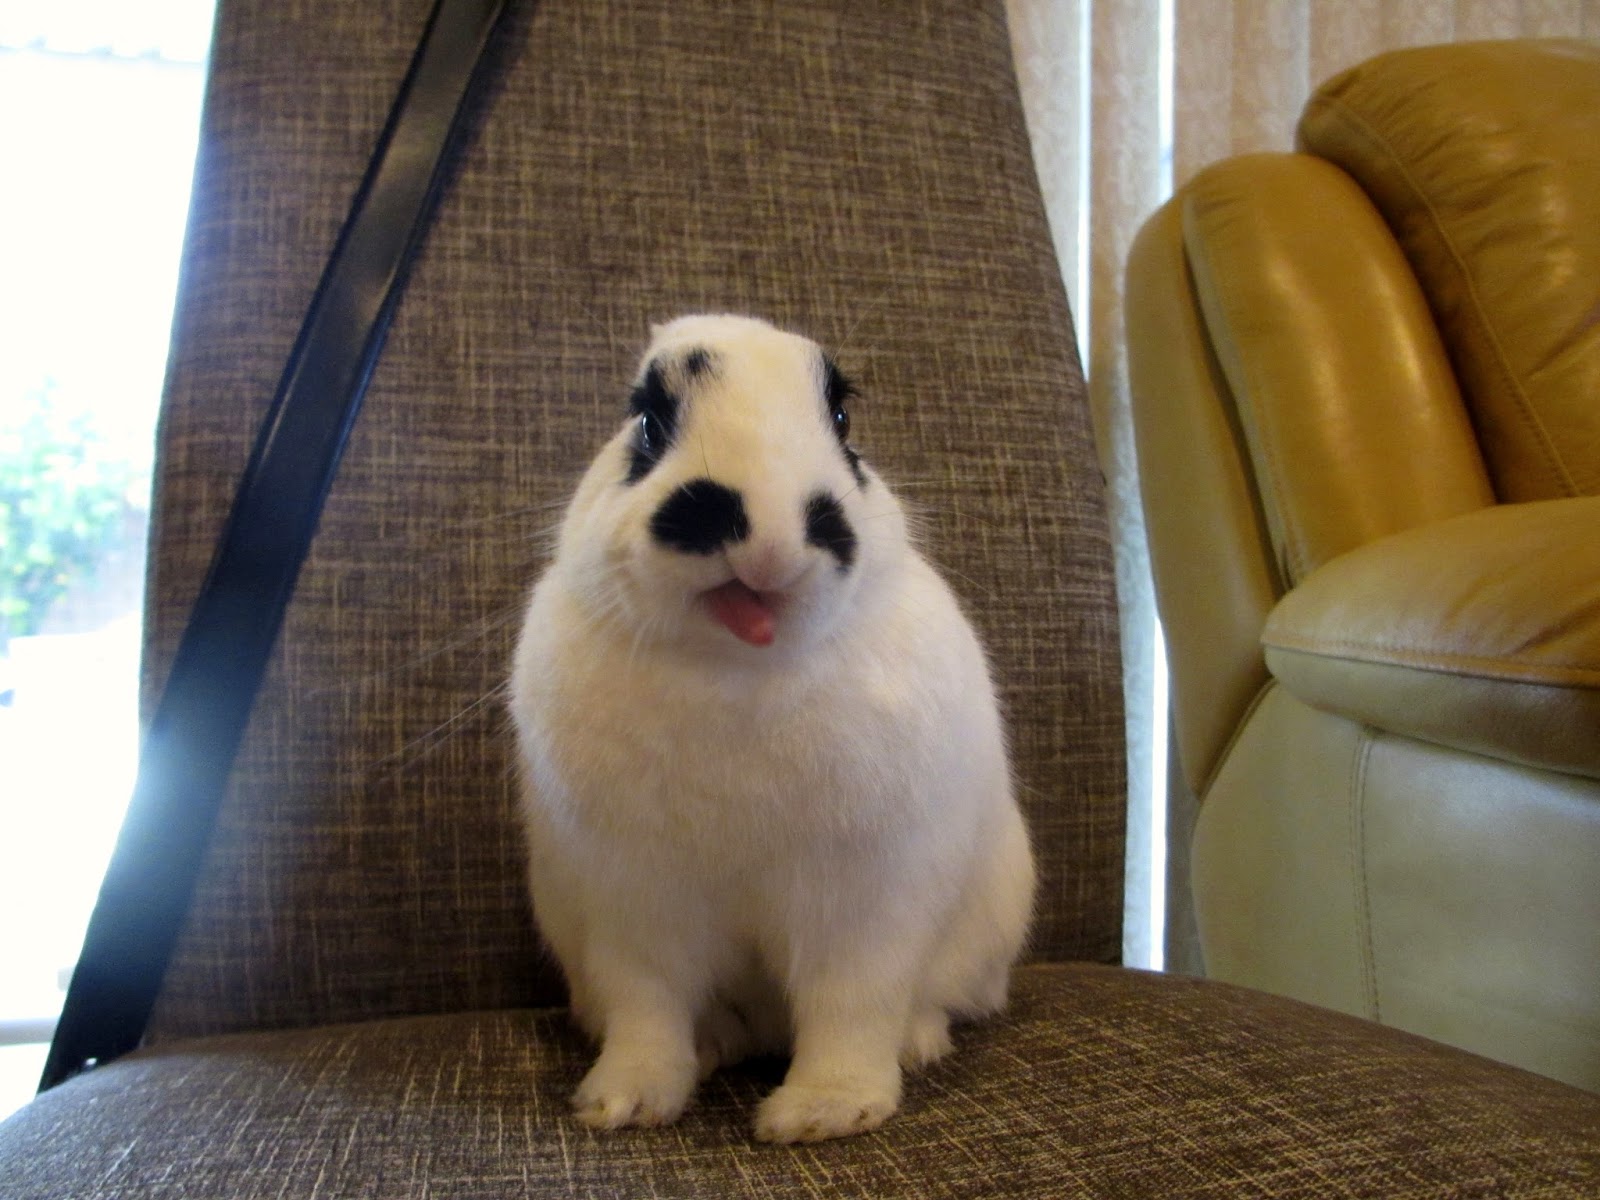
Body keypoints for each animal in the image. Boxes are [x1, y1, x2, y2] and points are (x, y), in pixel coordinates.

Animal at [509, 314, 1034, 1144]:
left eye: (843, 419)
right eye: (648, 423)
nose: (766, 539)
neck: (737, 666)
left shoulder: (865, 898)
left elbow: (851, 1004)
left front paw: (825, 1112)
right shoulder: (630, 901)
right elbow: (646, 1008)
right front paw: (623, 1102)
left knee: (922, 1002)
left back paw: (916, 1044)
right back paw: (713, 1047)